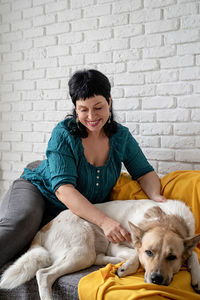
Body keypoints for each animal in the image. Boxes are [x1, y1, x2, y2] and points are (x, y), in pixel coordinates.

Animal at [0, 199, 200, 300]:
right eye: (149, 252)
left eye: (172, 257)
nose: (156, 279)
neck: (167, 221)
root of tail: (44, 227)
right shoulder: (116, 243)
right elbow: (135, 255)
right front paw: (127, 267)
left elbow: (193, 256)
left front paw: (197, 278)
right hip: (82, 251)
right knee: (43, 275)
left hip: (87, 252)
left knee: (97, 258)